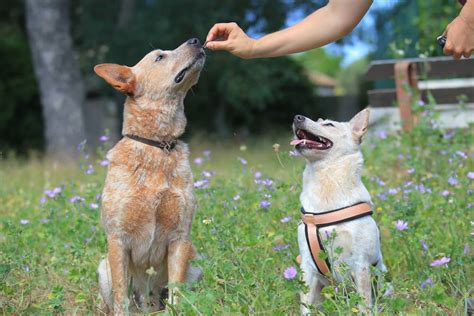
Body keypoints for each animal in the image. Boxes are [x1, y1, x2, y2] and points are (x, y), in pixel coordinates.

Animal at [94, 37, 206, 314]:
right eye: (159, 57)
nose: (196, 39)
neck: (158, 145)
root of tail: (147, 305)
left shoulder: (180, 237)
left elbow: (176, 291)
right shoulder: (118, 239)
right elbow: (121, 295)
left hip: (195, 265)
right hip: (103, 268)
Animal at [290, 108, 386, 314]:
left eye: (329, 124)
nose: (297, 117)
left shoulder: (361, 263)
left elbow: (364, 303)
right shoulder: (307, 266)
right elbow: (305, 305)